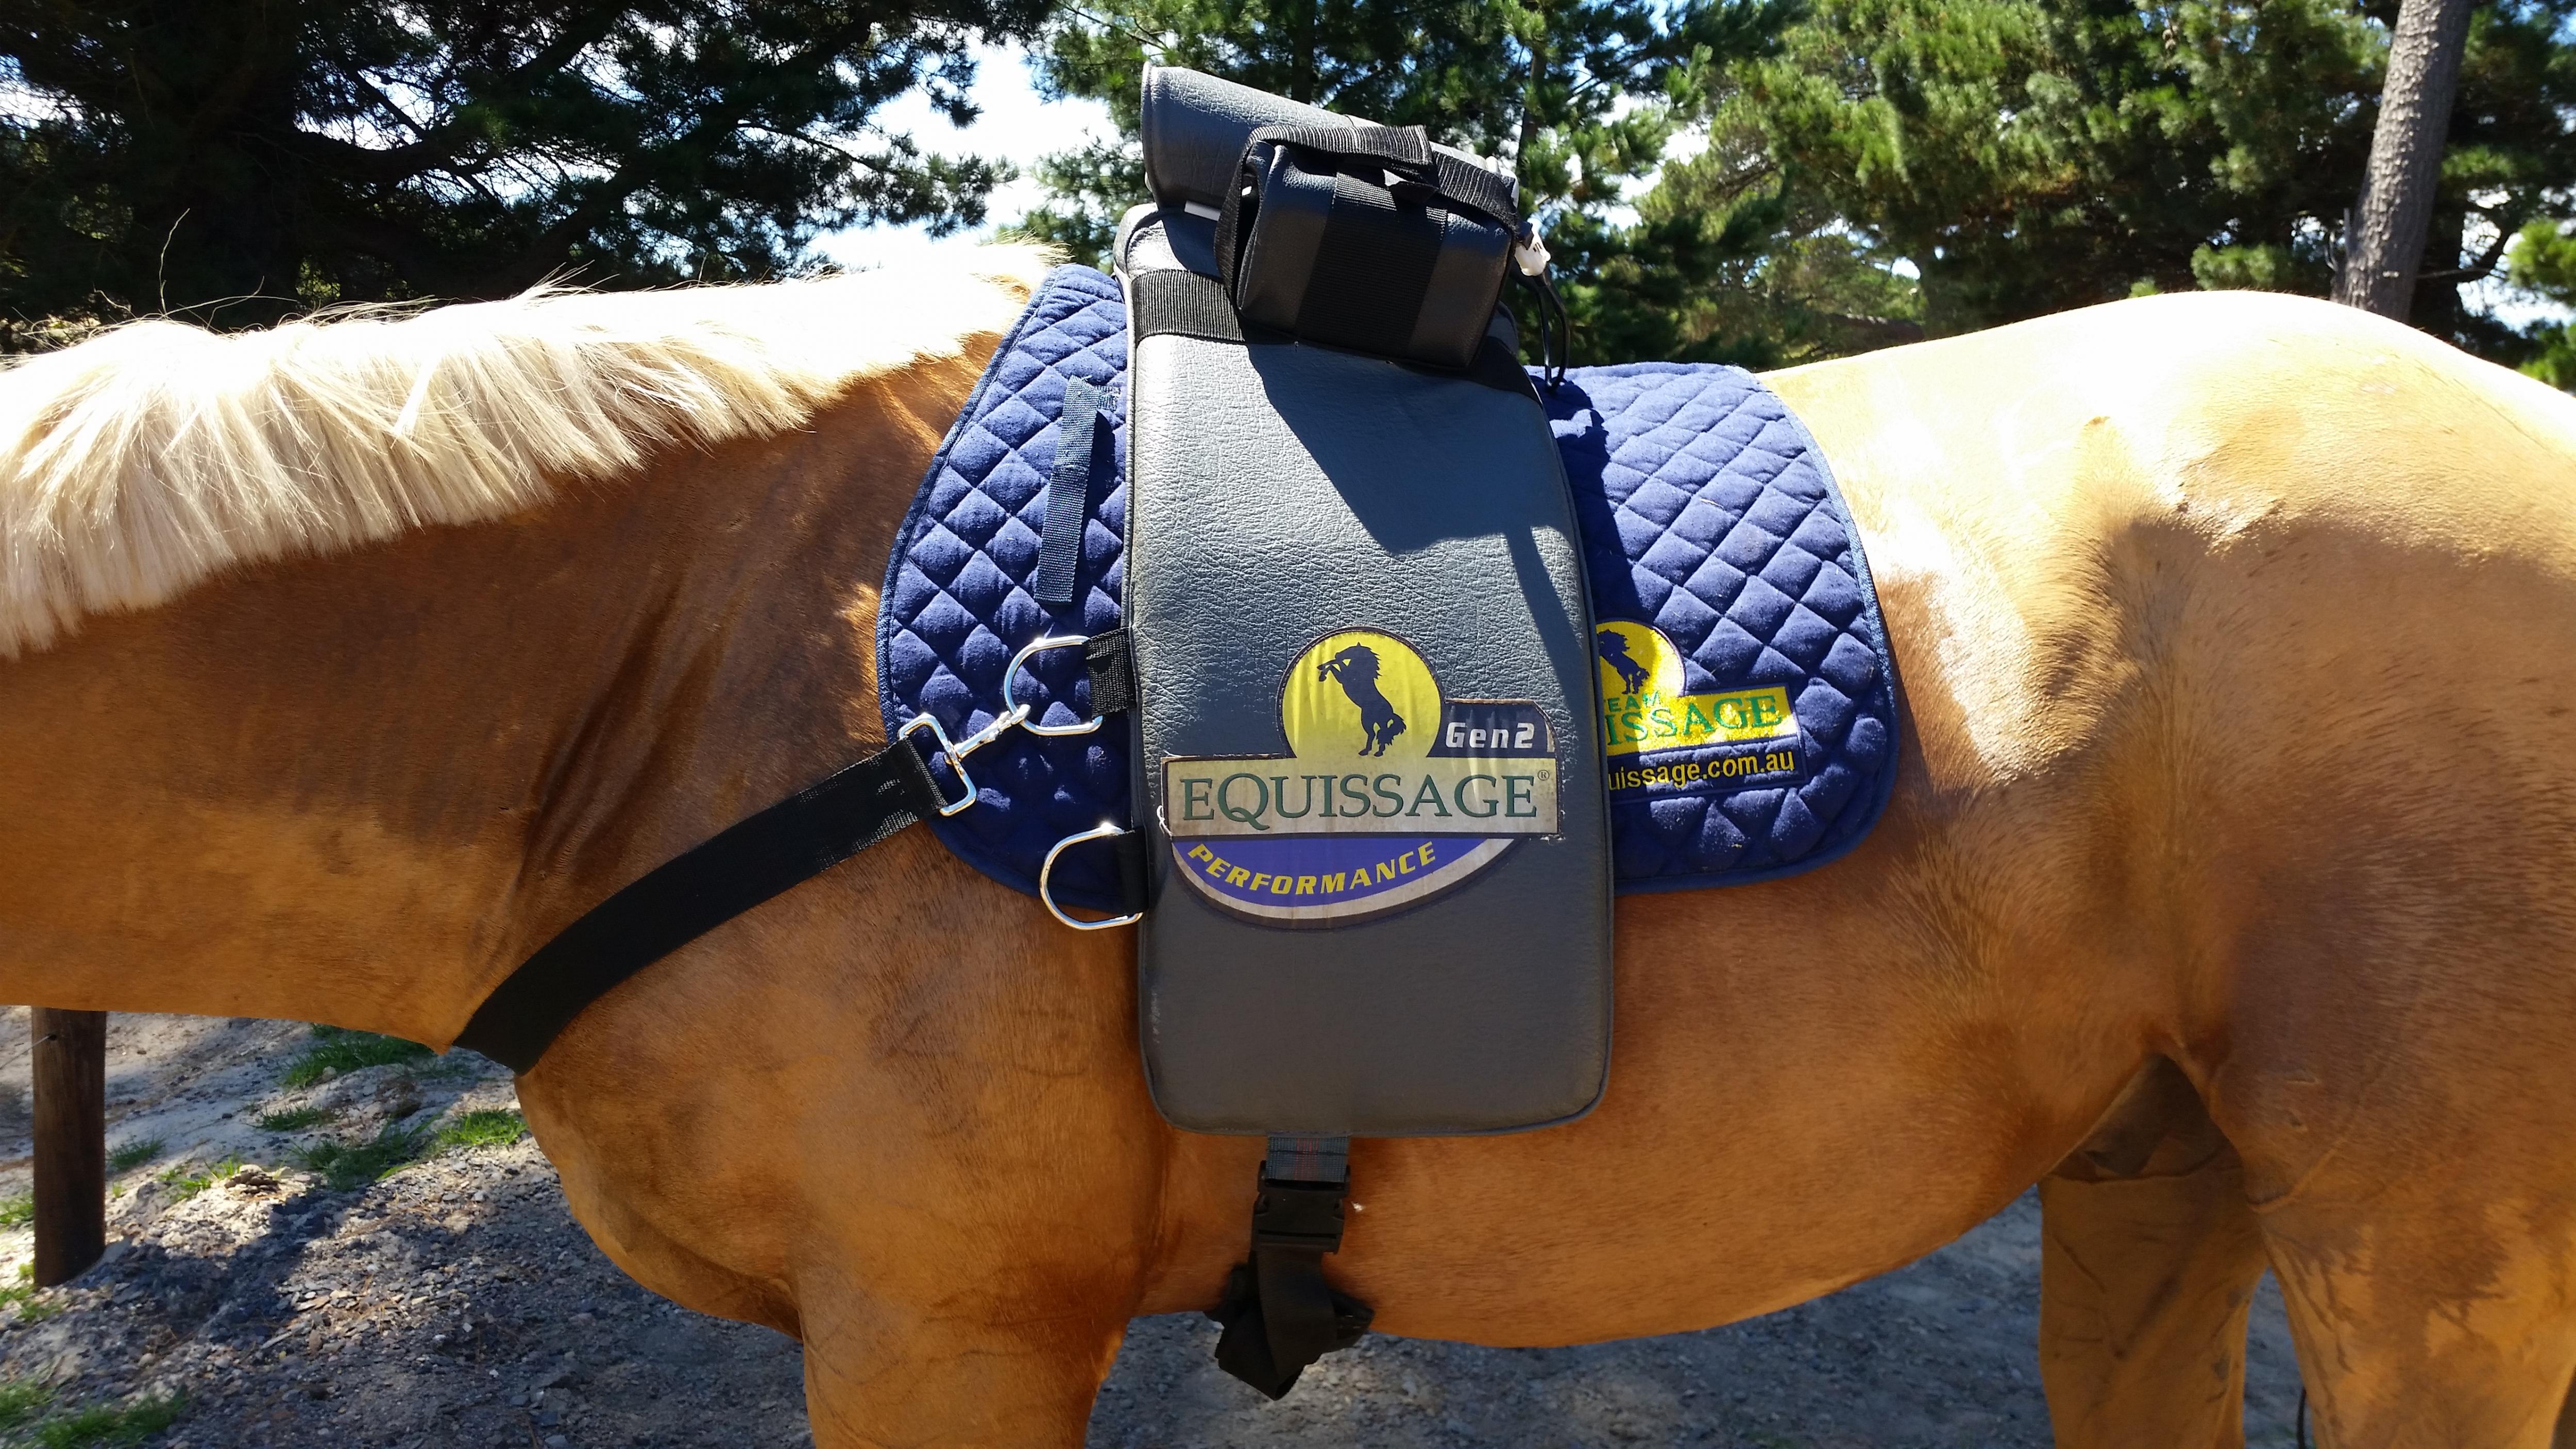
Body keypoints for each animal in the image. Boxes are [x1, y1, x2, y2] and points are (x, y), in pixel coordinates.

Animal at [1318, 643, 1407, 756]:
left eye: (1352, 650)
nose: (1337, 654)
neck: (1362, 672)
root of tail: (1391, 713)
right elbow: (1336, 663)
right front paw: (1320, 668)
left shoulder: (1343, 679)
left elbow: (1334, 665)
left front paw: (1322, 676)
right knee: (1377, 734)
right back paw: (1370, 751)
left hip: (1369, 720)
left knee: (1378, 733)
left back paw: (1375, 753)